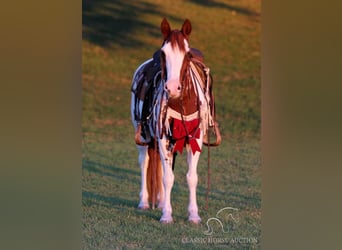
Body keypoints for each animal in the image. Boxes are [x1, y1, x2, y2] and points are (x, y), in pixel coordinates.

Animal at [130, 18, 220, 225]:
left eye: (187, 54)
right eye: (164, 53)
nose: (172, 88)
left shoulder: (194, 138)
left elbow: (191, 177)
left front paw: (193, 214)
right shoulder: (162, 138)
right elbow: (167, 178)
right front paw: (166, 215)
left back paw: (161, 201)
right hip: (143, 135)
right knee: (144, 162)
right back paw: (144, 202)